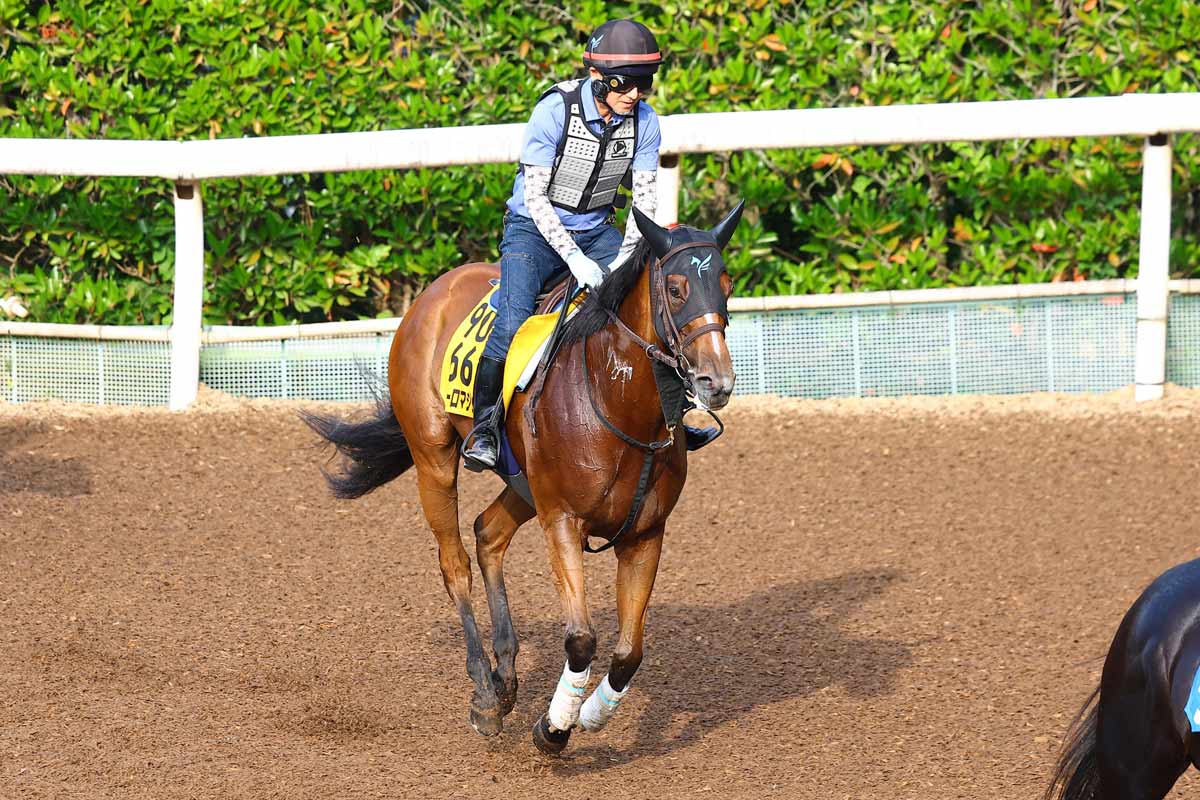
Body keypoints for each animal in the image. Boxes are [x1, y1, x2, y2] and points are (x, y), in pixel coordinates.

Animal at [302, 202, 743, 754]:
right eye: (678, 288)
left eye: (726, 283)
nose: (716, 381)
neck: (617, 396)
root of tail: (435, 291)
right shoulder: (563, 521)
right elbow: (582, 639)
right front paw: (554, 726)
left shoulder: (645, 534)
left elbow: (629, 652)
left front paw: (591, 714)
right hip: (434, 458)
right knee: (455, 564)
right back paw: (485, 692)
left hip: (523, 484)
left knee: (488, 533)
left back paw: (506, 677)